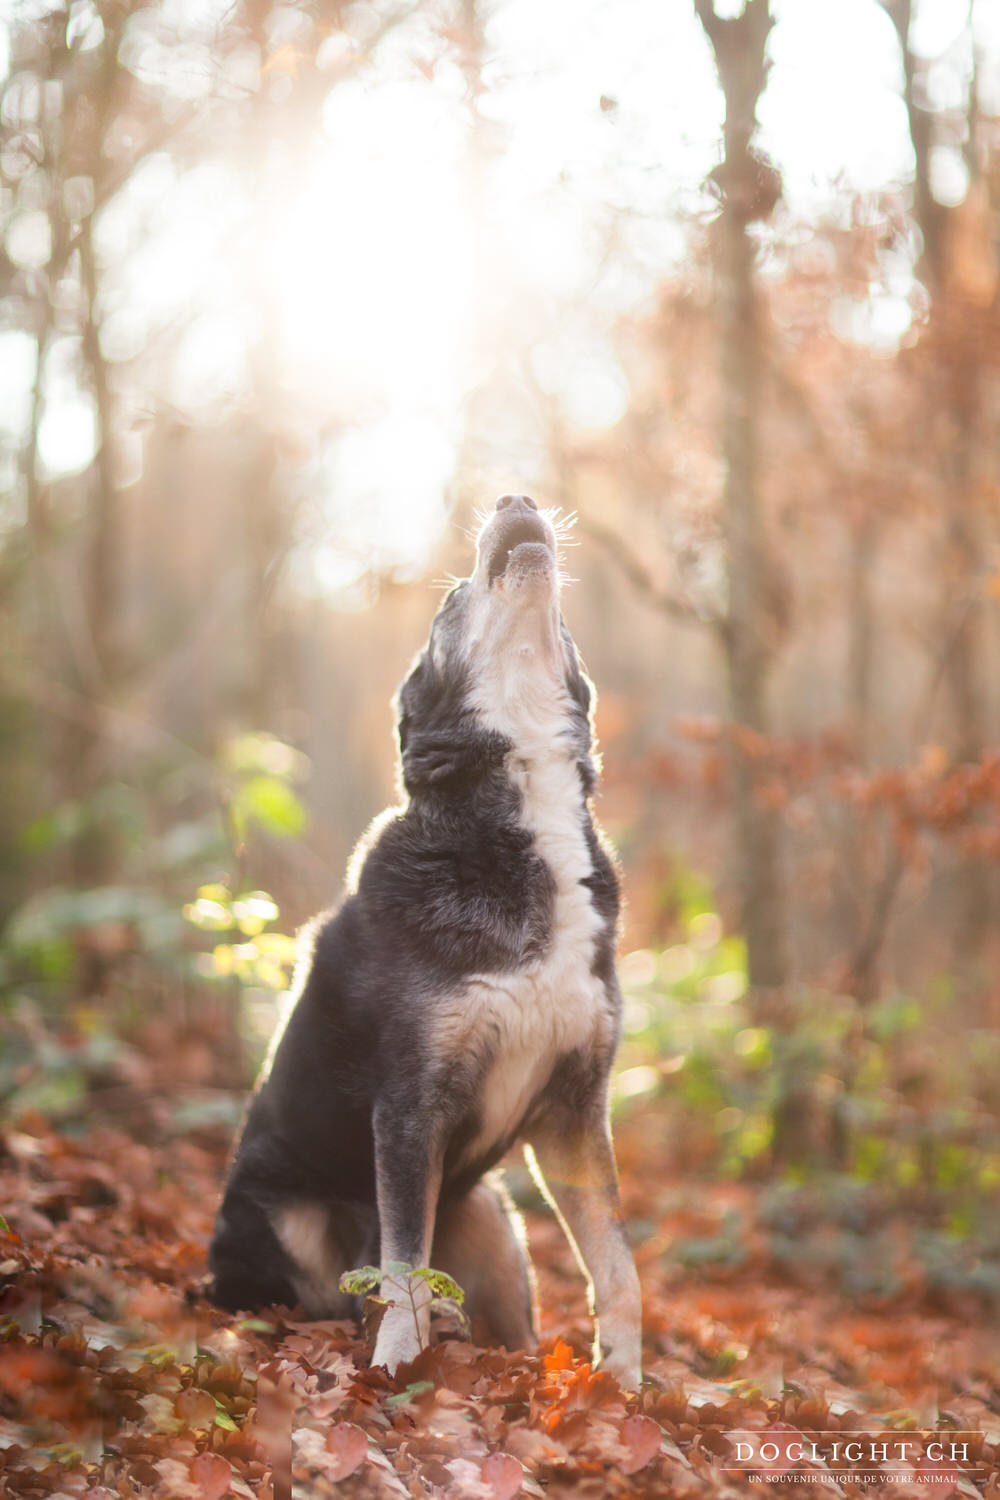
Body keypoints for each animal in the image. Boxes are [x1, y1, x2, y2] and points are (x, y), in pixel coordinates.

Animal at [211, 498, 644, 1386]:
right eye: (450, 599)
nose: (516, 500)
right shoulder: (410, 1107)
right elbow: (404, 1271)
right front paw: (396, 1372)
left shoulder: (574, 1110)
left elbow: (618, 1267)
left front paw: (627, 1381)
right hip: (287, 1220)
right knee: (322, 1293)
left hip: (495, 1225)